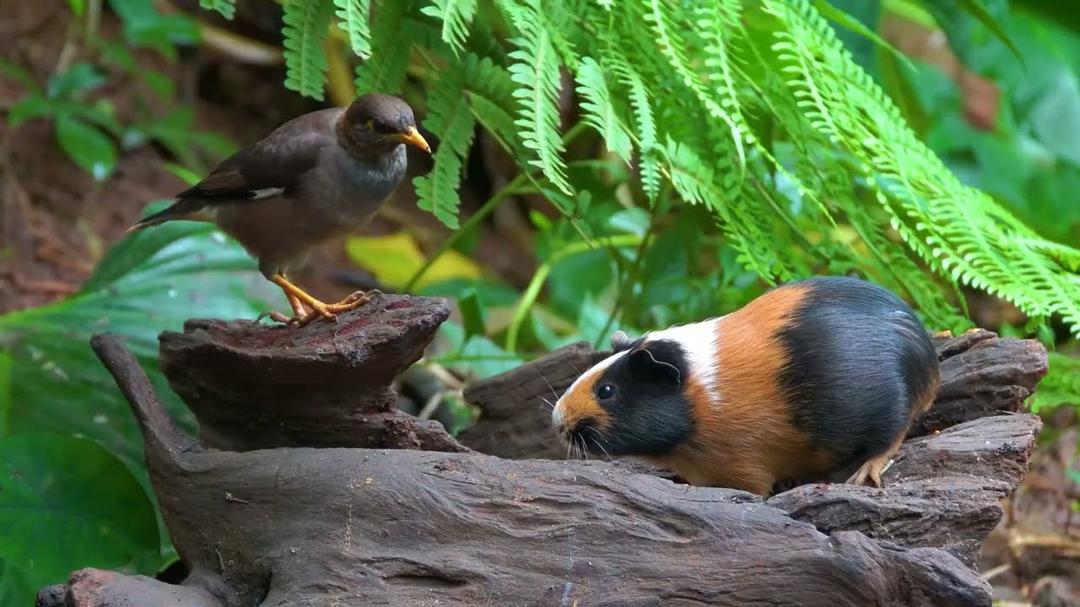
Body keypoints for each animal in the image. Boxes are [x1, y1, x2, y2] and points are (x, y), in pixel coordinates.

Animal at [551, 276, 940, 495]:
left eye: (607, 391)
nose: (557, 421)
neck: (704, 399)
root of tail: (925, 358)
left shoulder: (741, 468)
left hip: (887, 410)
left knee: (890, 439)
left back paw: (863, 476)